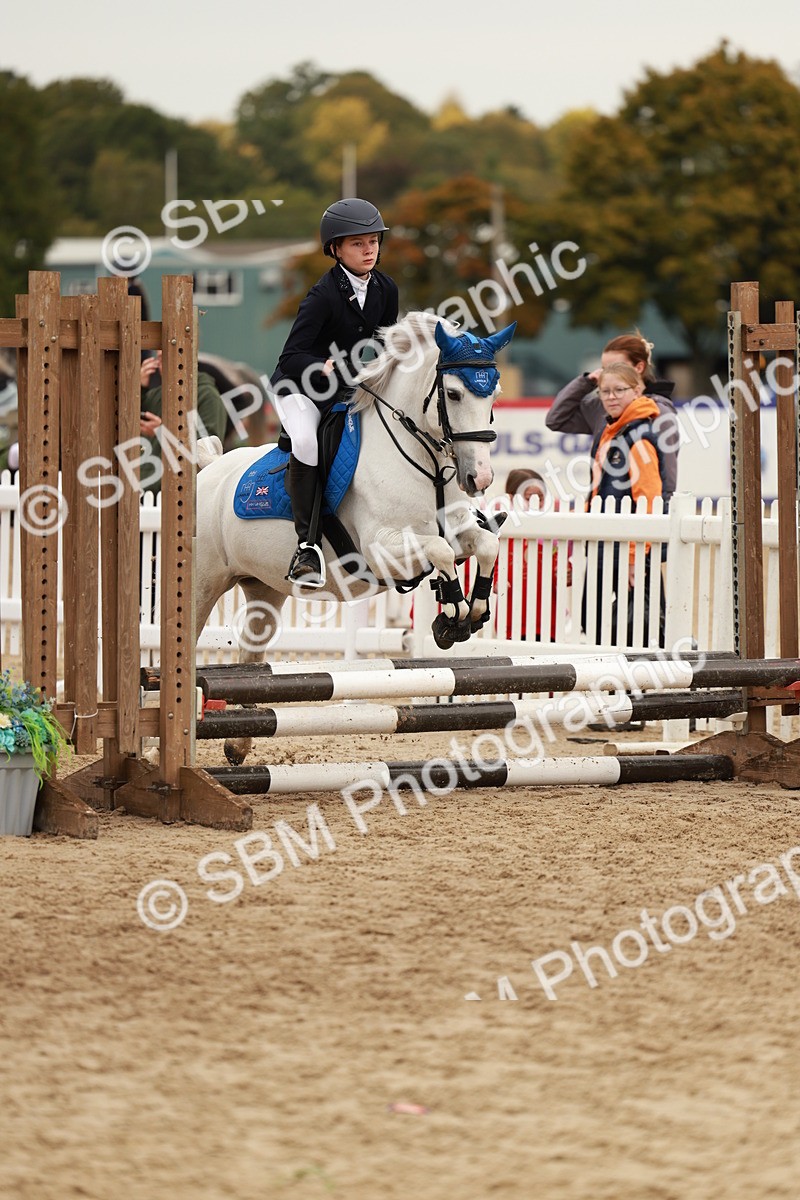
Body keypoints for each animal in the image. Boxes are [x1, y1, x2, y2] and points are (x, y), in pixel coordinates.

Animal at [194, 311, 516, 764]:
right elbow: (438, 551)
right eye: (453, 394)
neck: (424, 461)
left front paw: (474, 611)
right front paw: (451, 616)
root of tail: (210, 469)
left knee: (251, 655)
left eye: (494, 394)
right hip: (202, 584)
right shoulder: (381, 549)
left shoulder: (456, 531)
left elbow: (486, 544)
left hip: (263, 589)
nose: (480, 478)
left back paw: (237, 745)